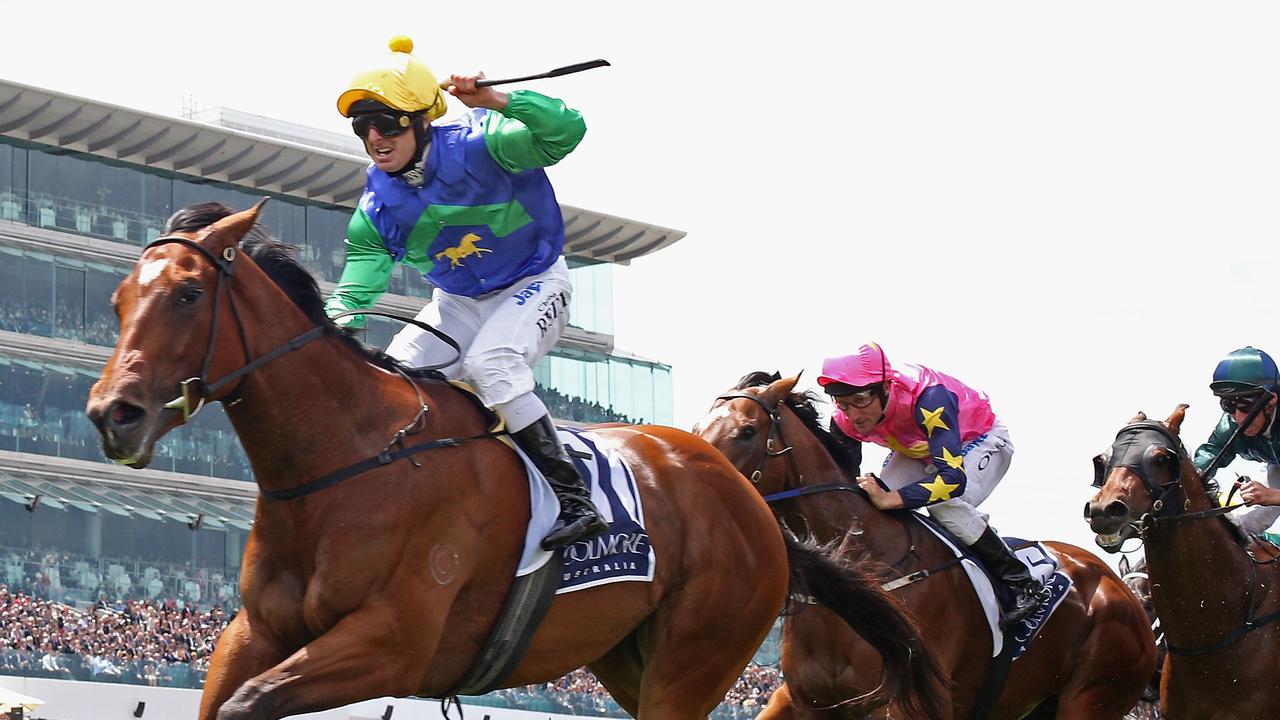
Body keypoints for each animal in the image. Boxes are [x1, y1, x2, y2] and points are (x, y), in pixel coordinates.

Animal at [80, 203, 942, 717]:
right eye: (118, 299)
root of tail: (751, 503)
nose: (112, 414)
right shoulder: (253, 633)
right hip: (628, 660)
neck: (349, 461)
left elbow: (251, 701)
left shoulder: (394, 644)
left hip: (696, 655)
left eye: (188, 294)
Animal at [701, 371, 1162, 717]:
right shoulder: (801, 700)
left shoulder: (908, 703)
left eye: (747, 431)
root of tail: (1119, 588)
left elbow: (950, 481)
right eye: (697, 428)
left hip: (1093, 693)